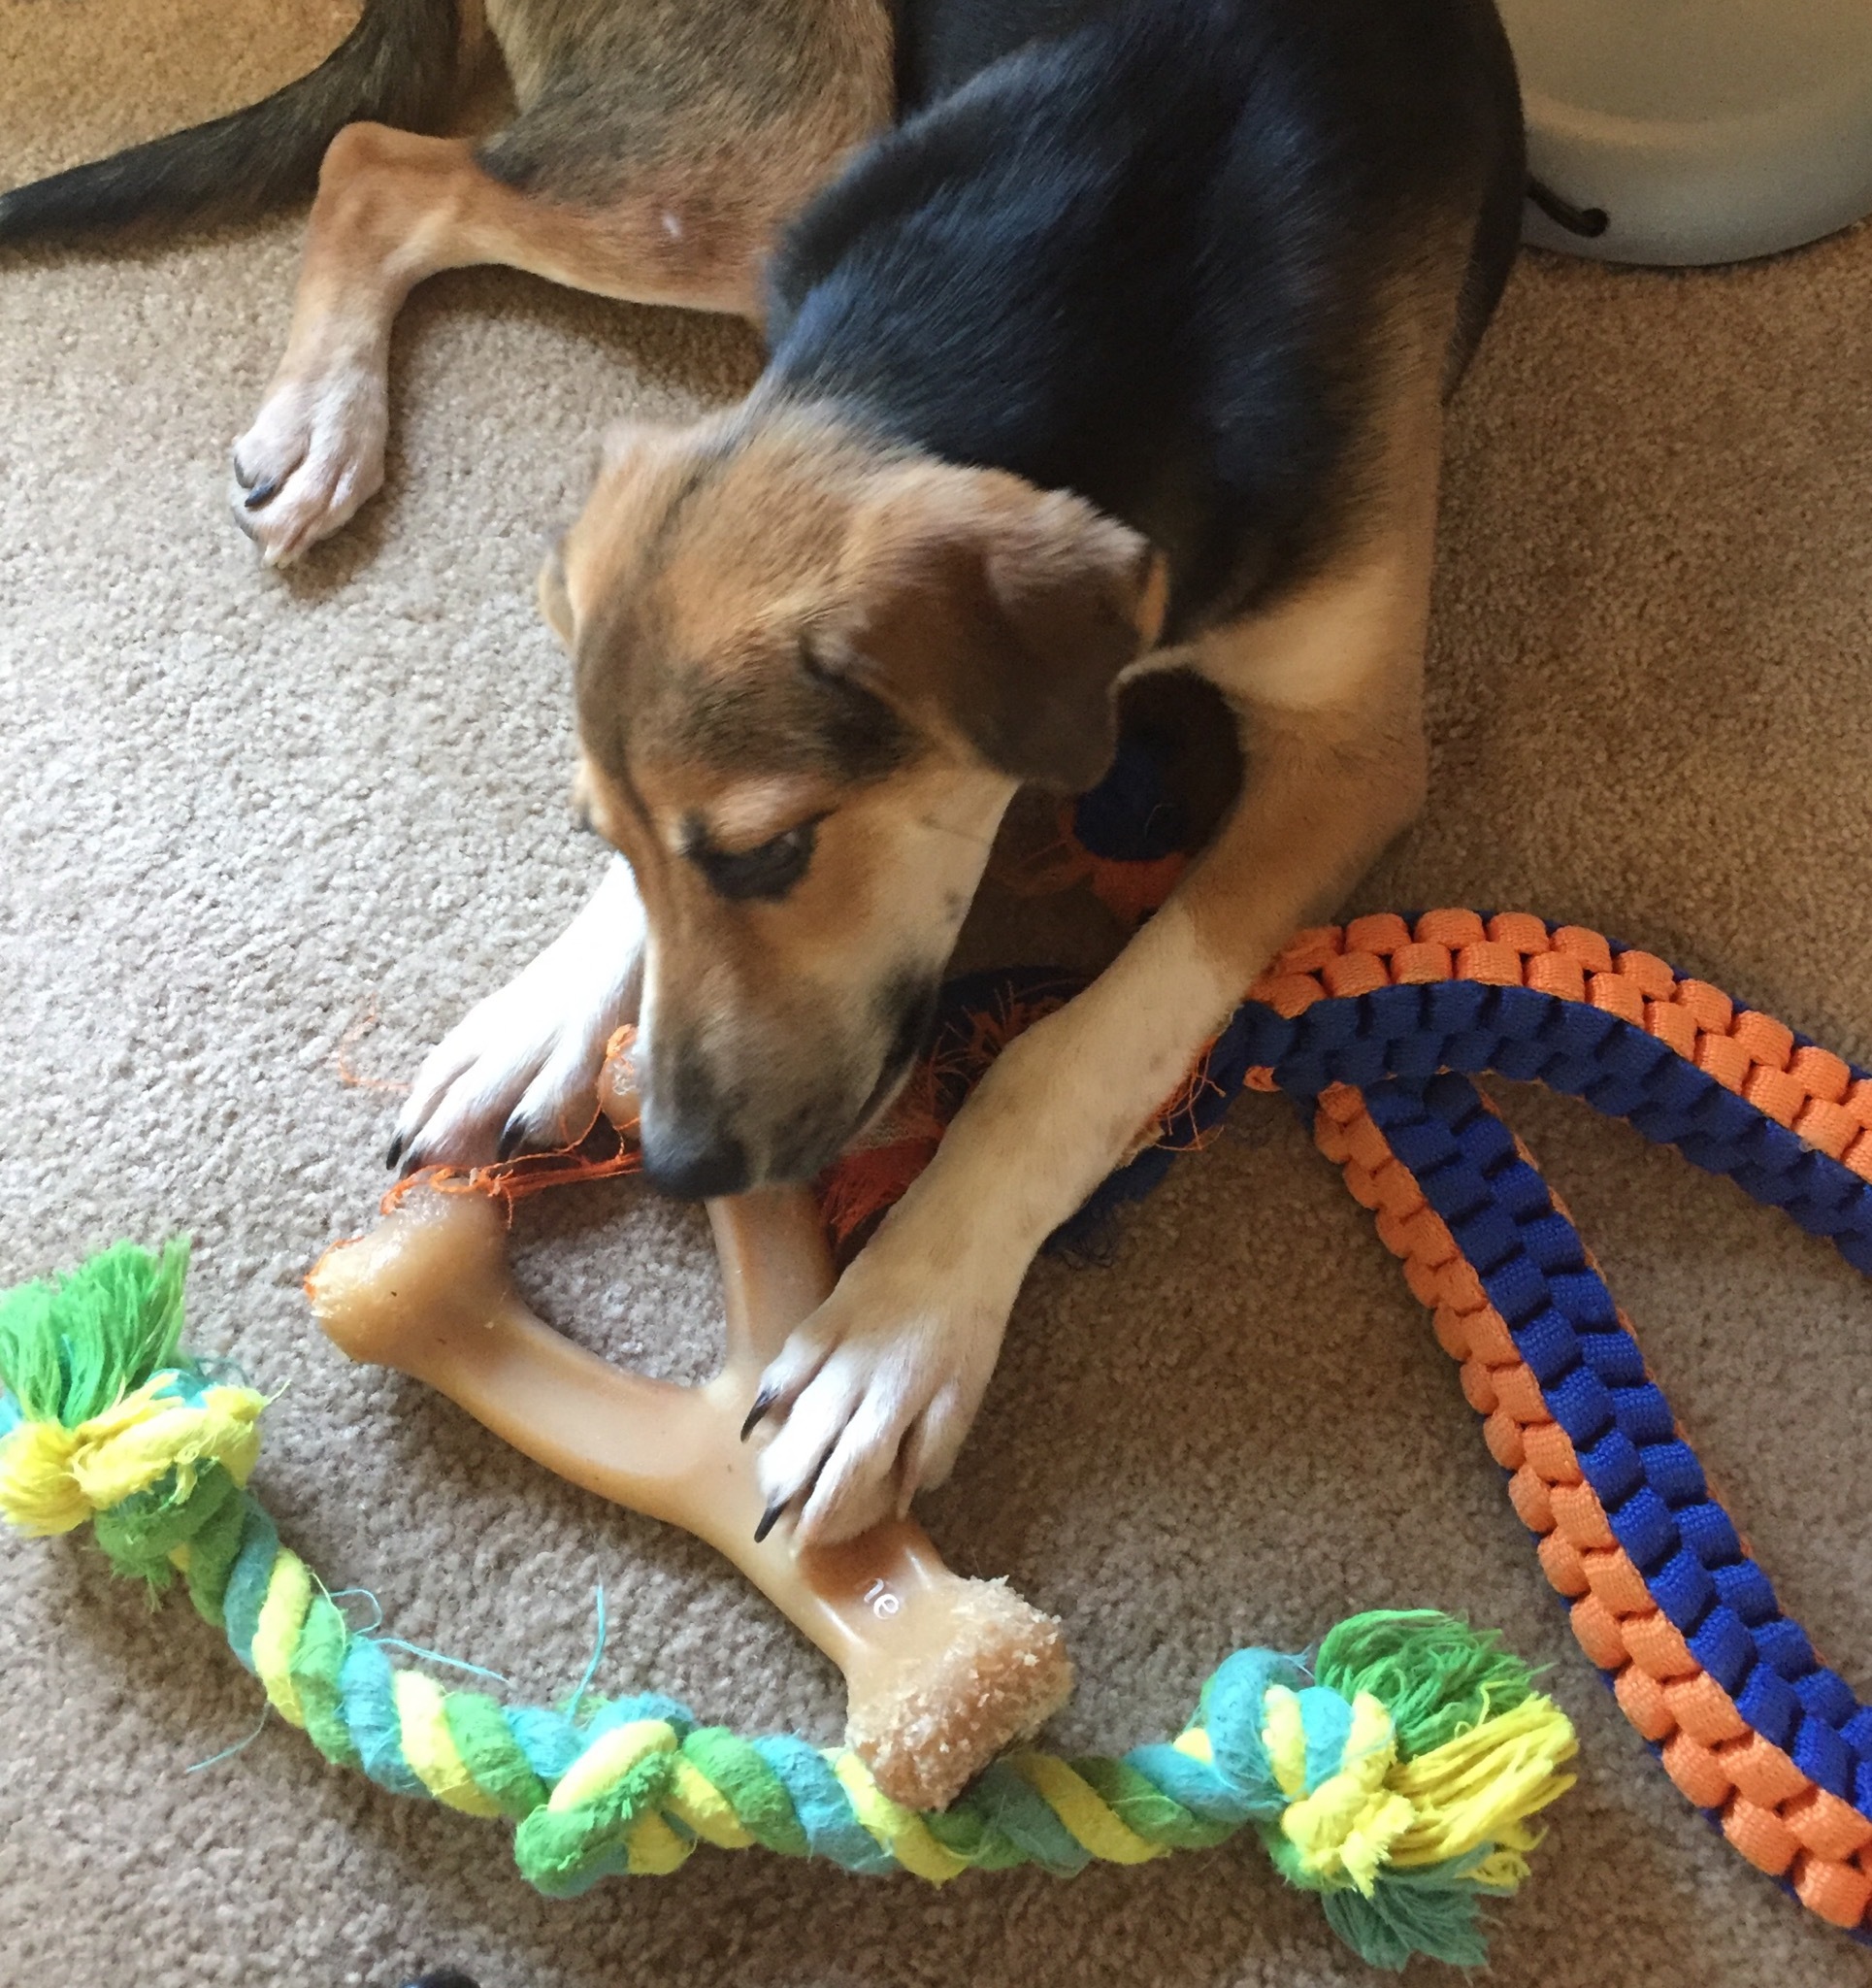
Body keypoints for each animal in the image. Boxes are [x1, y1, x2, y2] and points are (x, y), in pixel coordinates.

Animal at [7, 0, 1533, 1542]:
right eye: (606, 839)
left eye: (769, 852)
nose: (679, 1163)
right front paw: (543, 1015)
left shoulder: (1349, 755)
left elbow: (1081, 1049)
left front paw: (901, 1325)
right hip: (761, 164)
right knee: (379, 162)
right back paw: (321, 425)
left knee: (382, 158)